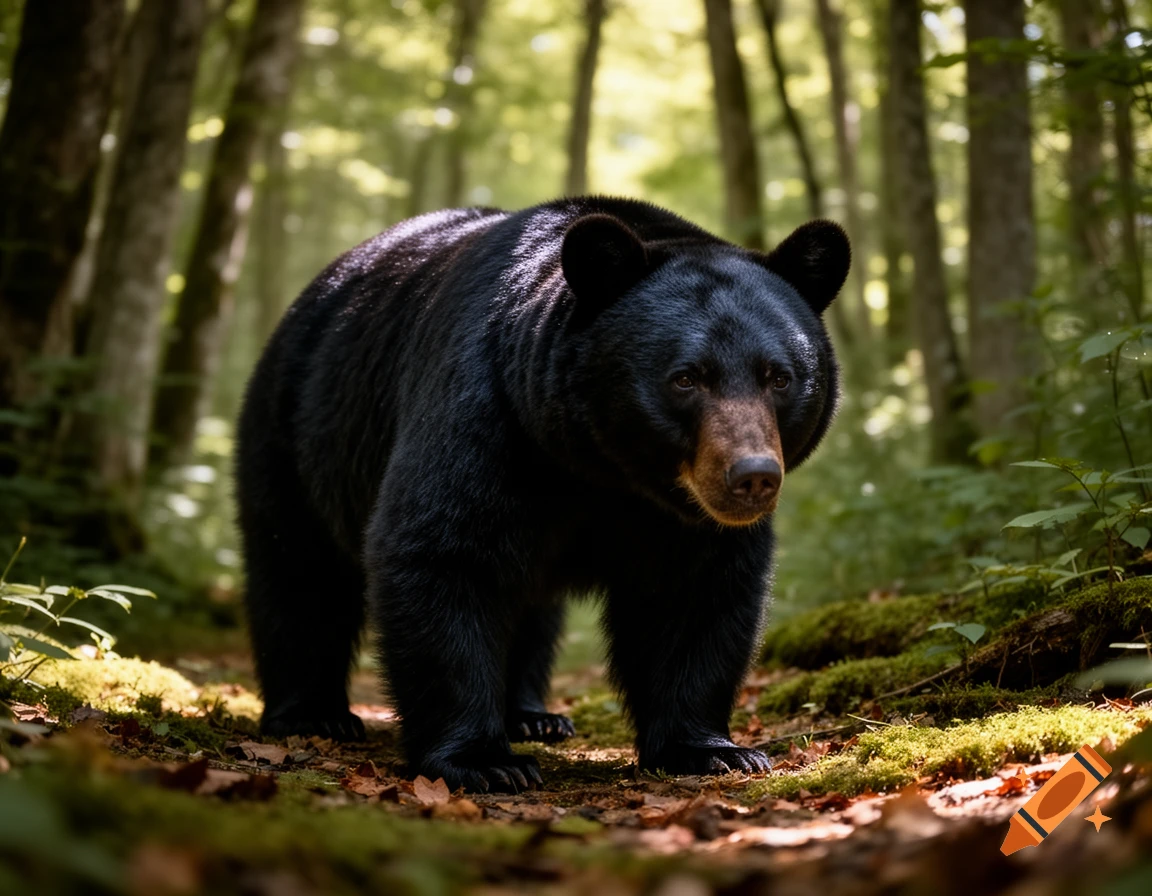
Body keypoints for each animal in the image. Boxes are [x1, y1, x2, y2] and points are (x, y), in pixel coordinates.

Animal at [236, 197, 848, 793]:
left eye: (779, 376)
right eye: (686, 378)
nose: (752, 475)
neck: (599, 468)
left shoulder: (680, 517)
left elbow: (696, 593)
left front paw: (711, 749)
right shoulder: (487, 415)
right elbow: (443, 554)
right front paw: (482, 761)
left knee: (531, 610)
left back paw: (533, 716)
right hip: (296, 431)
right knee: (298, 571)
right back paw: (313, 713)